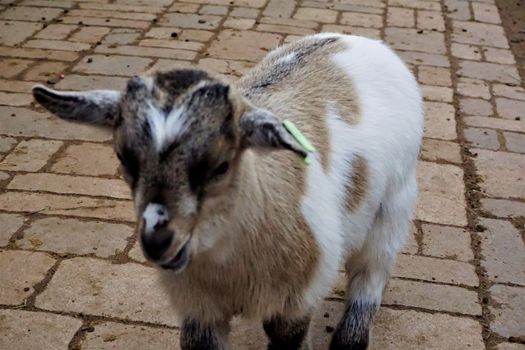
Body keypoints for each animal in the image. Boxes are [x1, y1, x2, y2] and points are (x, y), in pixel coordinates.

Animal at [32, 33, 424, 350]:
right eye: (123, 157)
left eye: (221, 165)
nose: (159, 241)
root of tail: (359, 41)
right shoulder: (198, 307)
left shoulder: (294, 300)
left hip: (395, 203)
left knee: (370, 274)